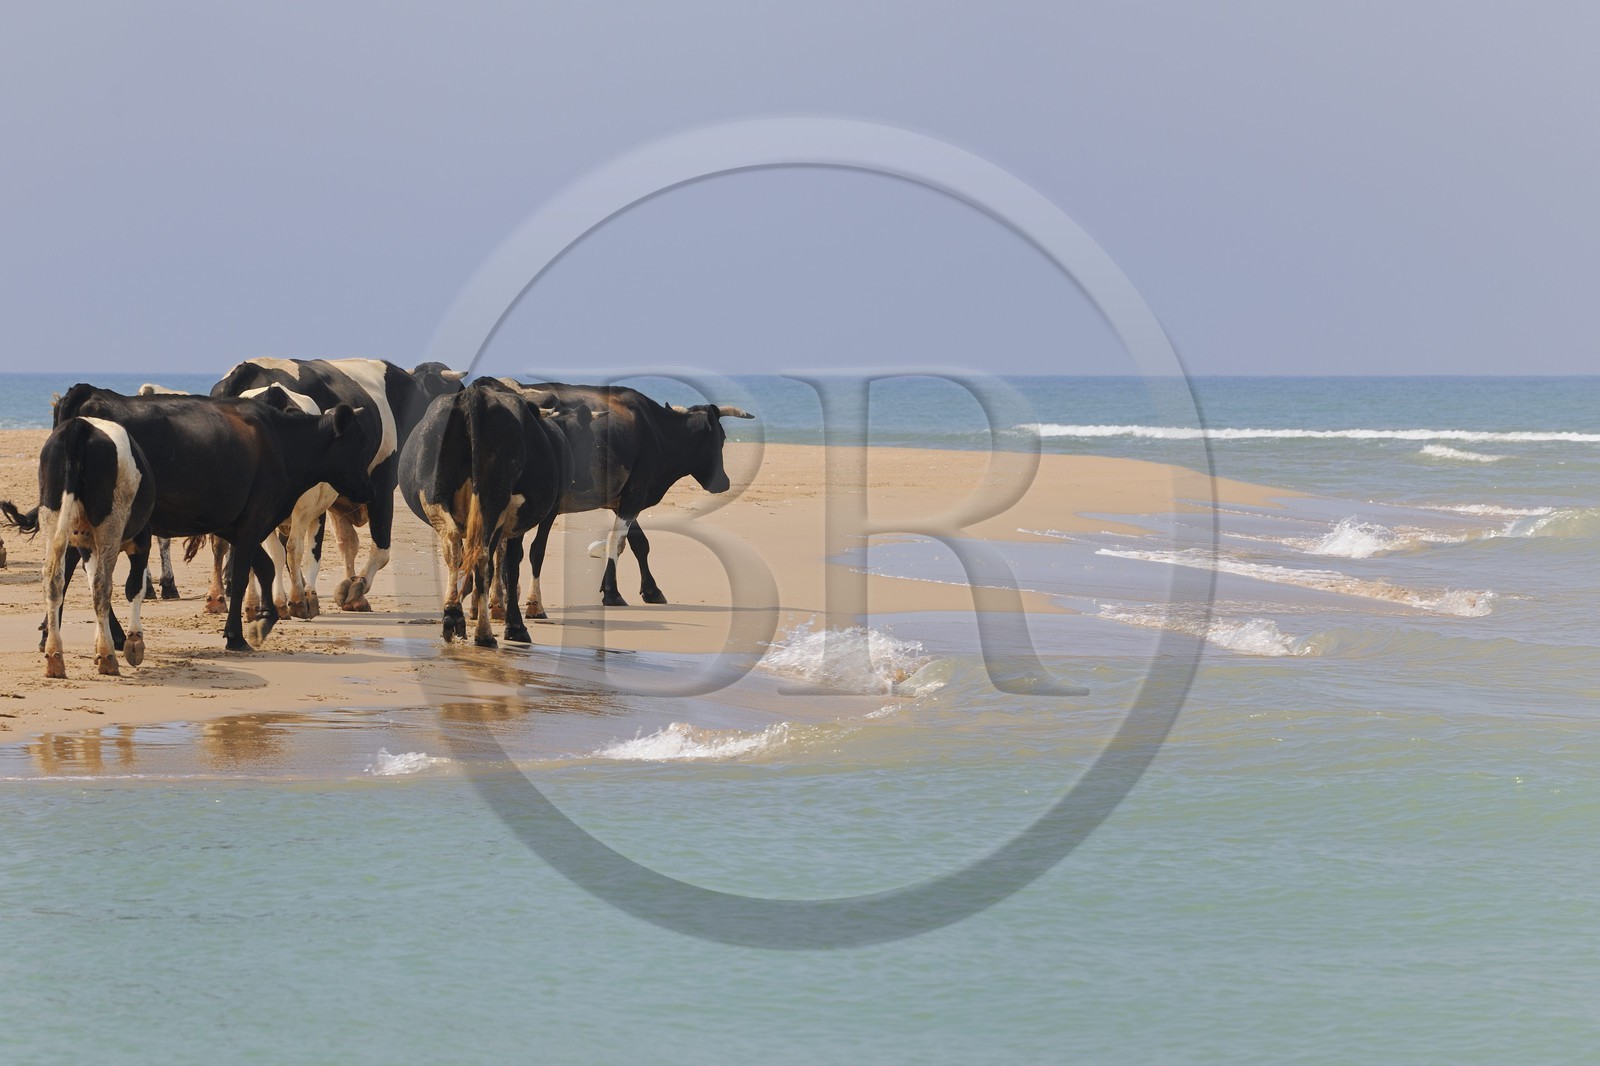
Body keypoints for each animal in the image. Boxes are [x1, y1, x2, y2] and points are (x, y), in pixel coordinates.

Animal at [0, 417, 156, 678]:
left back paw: (55, 658)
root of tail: (78, 425)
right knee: (103, 584)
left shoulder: (87, 545)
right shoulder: (142, 539)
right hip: (109, 523)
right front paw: (134, 642)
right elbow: (134, 586)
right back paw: (108, 658)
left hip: (52, 513)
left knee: (54, 579)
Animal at [44, 384, 375, 653]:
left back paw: (56, 635)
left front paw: (262, 621)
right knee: (82, 569)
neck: (280, 441)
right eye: (356, 445)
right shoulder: (255, 518)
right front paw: (237, 635)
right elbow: (242, 576)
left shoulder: (234, 523)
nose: (368, 488)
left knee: (68, 566)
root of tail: (89, 392)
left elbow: (264, 568)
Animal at [210, 359, 465, 612]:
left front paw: (348, 589)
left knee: (223, 544)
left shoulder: (337, 496)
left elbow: (347, 543)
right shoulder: (380, 485)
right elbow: (380, 549)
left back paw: (225, 597)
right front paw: (356, 587)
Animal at [398, 381, 591, 648]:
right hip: (493, 501)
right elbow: (517, 561)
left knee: (454, 543)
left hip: (433, 495)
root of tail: (474, 395)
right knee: (483, 557)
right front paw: (516, 625)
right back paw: (485, 633)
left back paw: (453, 615)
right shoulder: (534, 516)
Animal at [486, 381, 752, 616]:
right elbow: (617, 540)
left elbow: (638, 543)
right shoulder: (635, 494)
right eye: (723, 438)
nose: (724, 483)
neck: (657, 431)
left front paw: (650, 590)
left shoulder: (621, 500)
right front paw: (612, 593)